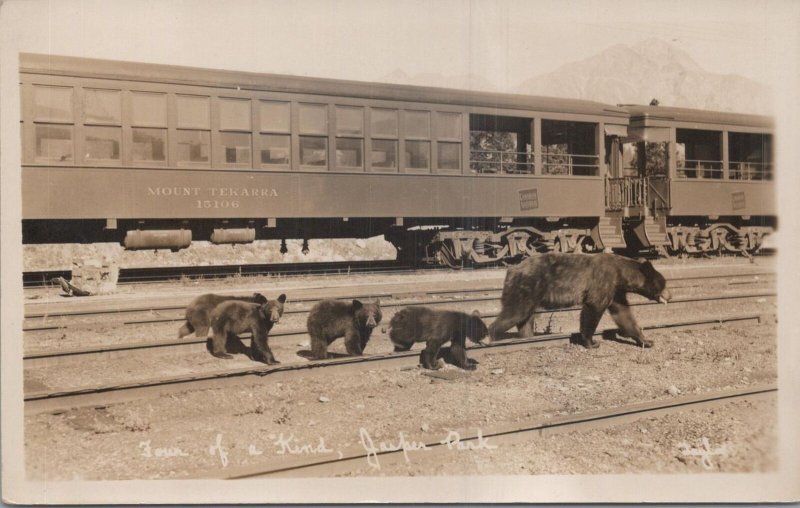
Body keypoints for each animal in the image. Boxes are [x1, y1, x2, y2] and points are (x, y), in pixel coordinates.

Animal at [488, 254, 668, 350]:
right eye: (663, 283)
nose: (670, 295)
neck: (621, 274)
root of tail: (511, 270)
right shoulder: (603, 281)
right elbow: (593, 308)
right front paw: (591, 342)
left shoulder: (616, 291)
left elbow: (624, 314)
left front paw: (646, 341)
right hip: (527, 287)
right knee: (515, 312)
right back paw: (494, 337)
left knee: (525, 319)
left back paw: (526, 337)